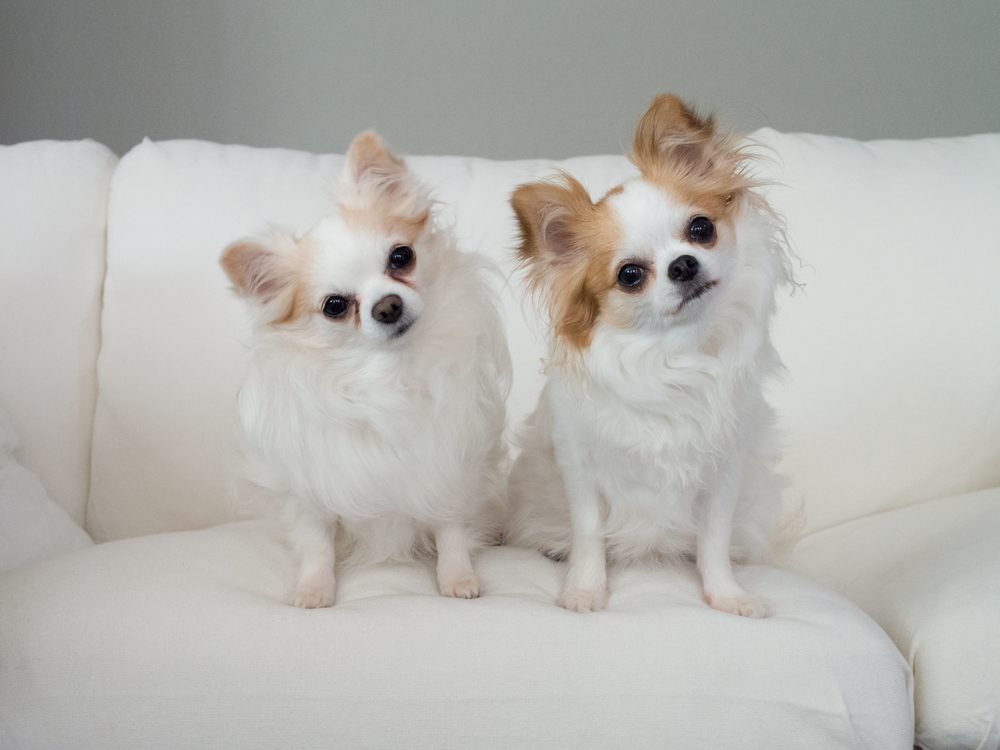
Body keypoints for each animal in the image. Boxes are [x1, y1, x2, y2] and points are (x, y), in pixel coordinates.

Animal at [224, 132, 512, 608]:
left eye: (401, 256)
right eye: (335, 306)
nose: (388, 305)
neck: (390, 374)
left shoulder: (448, 466)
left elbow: (451, 529)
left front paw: (457, 577)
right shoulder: (315, 483)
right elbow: (317, 541)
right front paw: (314, 588)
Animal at [508, 94, 788, 616]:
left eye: (701, 228)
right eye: (631, 275)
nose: (683, 264)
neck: (673, 353)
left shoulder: (724, 470)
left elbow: (714, 541)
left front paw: (726, 595)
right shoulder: (580, 467)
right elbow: (589, 533)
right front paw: (584, 590)